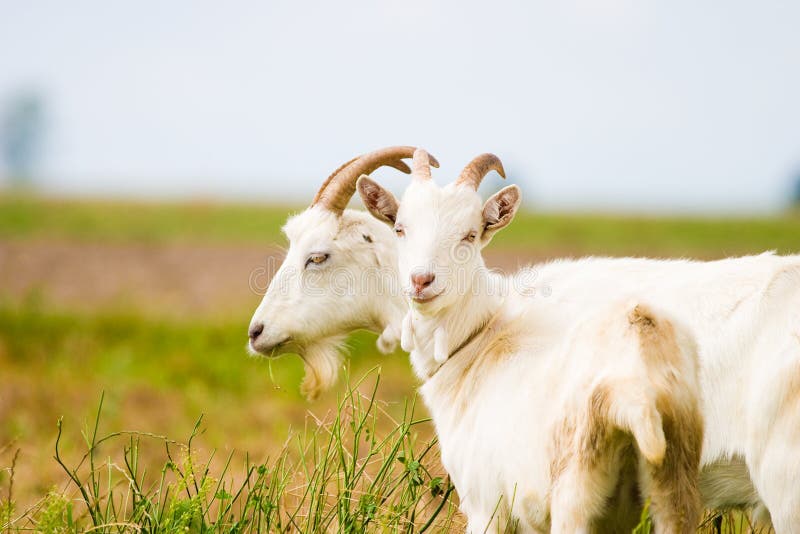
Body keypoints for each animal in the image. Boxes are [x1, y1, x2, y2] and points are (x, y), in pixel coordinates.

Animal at [357, 151, 704, 532]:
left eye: (470, 235)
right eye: (400, 229)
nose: (421, 280)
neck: (477, 343)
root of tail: (637, 388)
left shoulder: (485, 505)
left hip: (575, 488)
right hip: (674, 483)